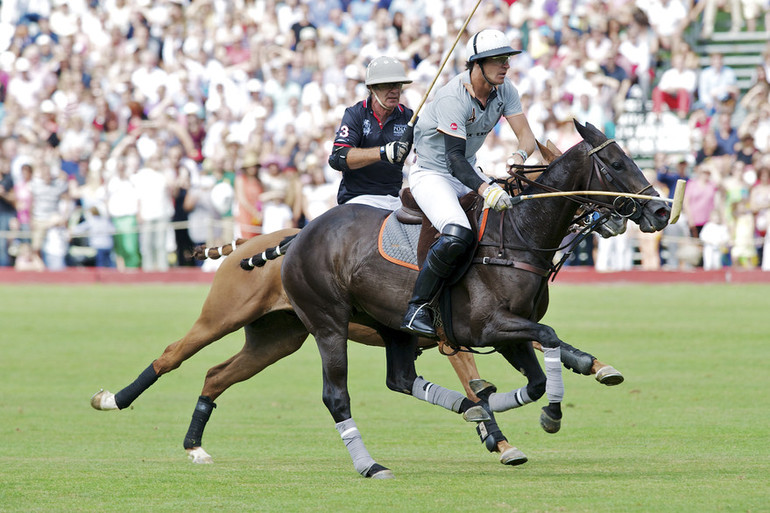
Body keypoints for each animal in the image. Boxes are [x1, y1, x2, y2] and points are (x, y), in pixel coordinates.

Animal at [280, 120, 668, 476]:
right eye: (617, 164)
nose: (661, 211)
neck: (518, 234)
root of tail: (299, 235)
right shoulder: (488, 328)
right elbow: (549, 338)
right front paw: (546, 413)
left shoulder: (510, 331)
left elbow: (538, 379)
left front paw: (497, 404)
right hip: (329, 325)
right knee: (336, 396)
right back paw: (371, 465)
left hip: (391, 325)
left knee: (401, 380)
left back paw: (474, 411)